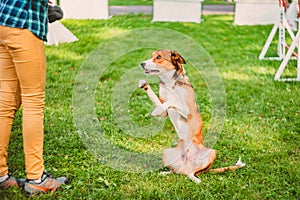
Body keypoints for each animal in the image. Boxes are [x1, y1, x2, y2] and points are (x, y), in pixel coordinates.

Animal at [139, 49, 245, 183]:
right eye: (151, 56)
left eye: (158, 57)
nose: (142, 63)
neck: (170, 84)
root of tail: (187, 165)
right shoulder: (165, 112)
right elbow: (161, 101)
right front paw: (144, 85)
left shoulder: (186, 110)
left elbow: (173, 101)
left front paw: (157, 109)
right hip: (167, 153)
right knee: (178, 171)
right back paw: (166, 173)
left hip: (211, 153)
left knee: (192, 172)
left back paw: (195, 179)